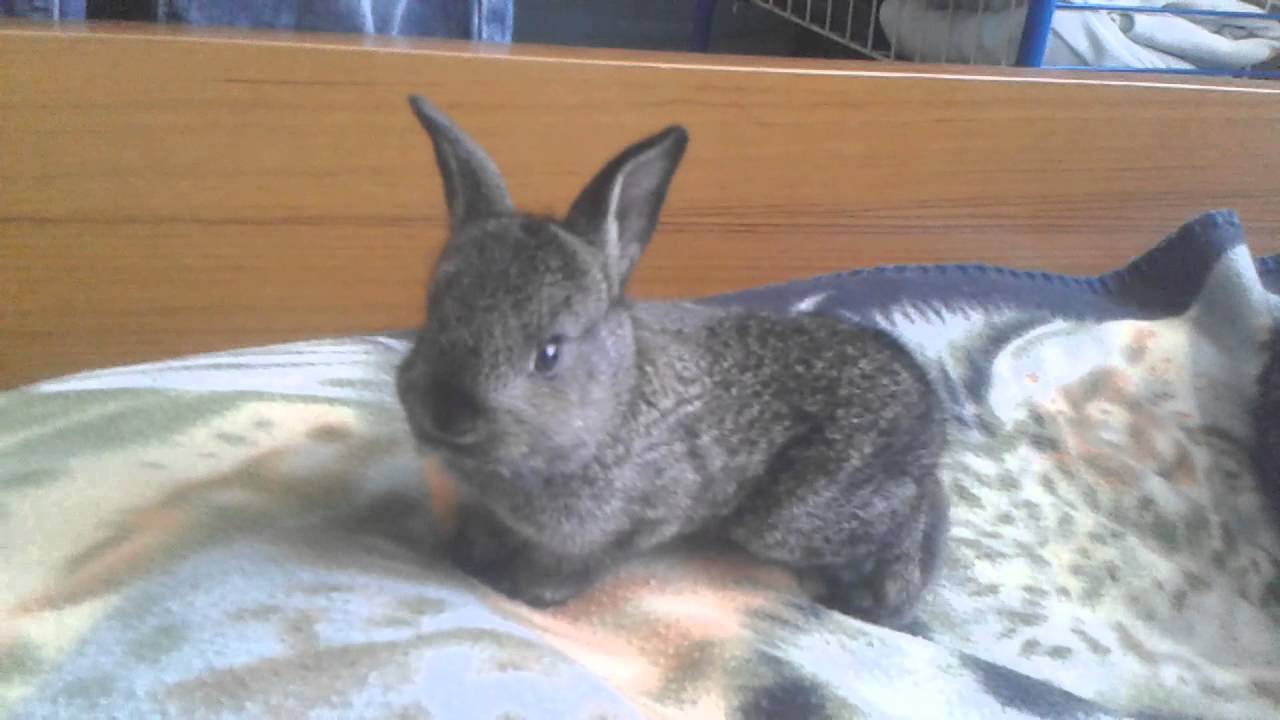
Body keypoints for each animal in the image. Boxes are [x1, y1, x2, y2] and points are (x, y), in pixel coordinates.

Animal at [395, 95, 949, 629]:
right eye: (435, 313)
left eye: (549, 353)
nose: (447, 414)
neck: (614, 406)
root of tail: (926, 404)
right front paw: (464, 551)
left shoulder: (640, 519)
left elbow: (573, 567)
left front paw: (524, 590)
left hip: (792, 520)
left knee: (914, 514)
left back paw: (878, 597)